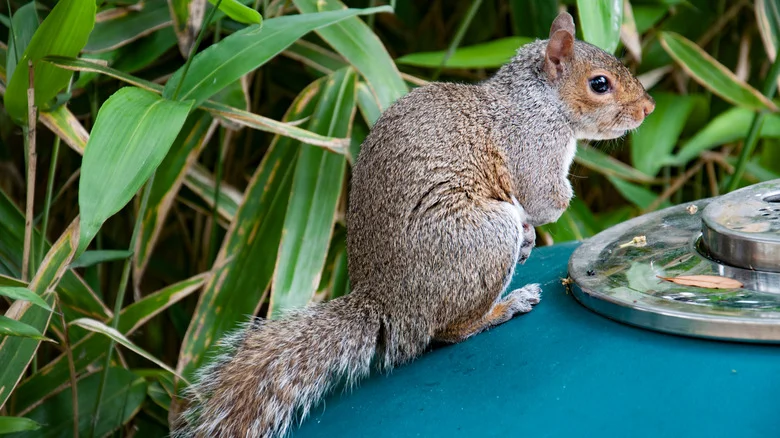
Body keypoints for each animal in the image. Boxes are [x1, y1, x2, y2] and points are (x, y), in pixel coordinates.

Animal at [173, 11, 655, 438]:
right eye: (599, 84)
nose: (649, 107)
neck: (539, 100)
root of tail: (387, 303)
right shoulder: (532, 147)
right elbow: (543, 200)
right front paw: (537, 224)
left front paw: (532, 239)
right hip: (481, 238)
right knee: (448, 333)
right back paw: (506, 305)